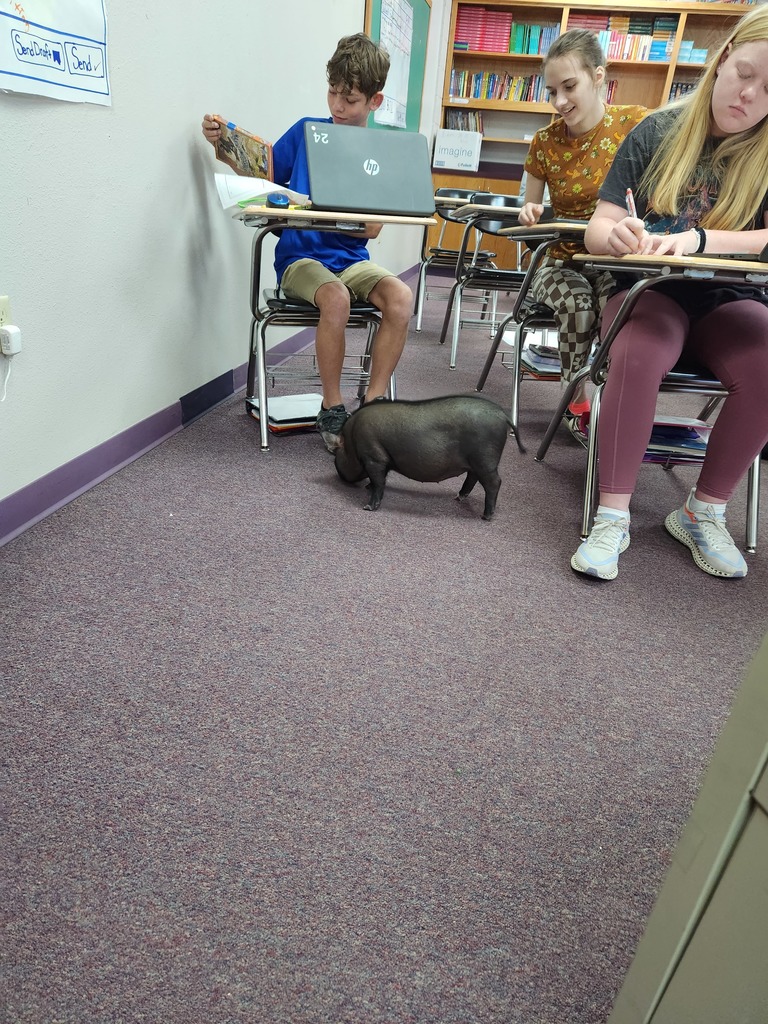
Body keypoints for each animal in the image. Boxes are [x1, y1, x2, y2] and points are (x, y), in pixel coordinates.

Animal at [333, 394, 519, 520]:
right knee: (473, 477)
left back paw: (485, 516)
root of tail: (502, 415)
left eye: (336, 457)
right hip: (476, 461)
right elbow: (378, 480)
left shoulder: (374, 458)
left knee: (494, 482)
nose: (340, 476)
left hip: (485, 459)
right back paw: (458, 497)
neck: (351, 439)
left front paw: (368, 507)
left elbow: (379, 482)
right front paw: (368, 487)